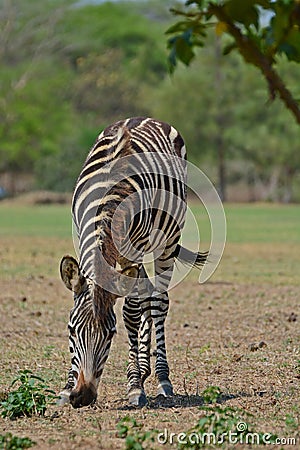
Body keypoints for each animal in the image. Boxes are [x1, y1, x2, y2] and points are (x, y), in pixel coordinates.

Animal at [57, 116, 206, 408]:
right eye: (71, 331)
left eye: (110, 335)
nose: (83, 397)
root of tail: (147, 118)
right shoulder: (82, 237)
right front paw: (67, 386)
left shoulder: (133, 250)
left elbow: (131, 312)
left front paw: (135, 385)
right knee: (147, 294)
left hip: (167, 240)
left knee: (158, 302)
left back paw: (161, 378)